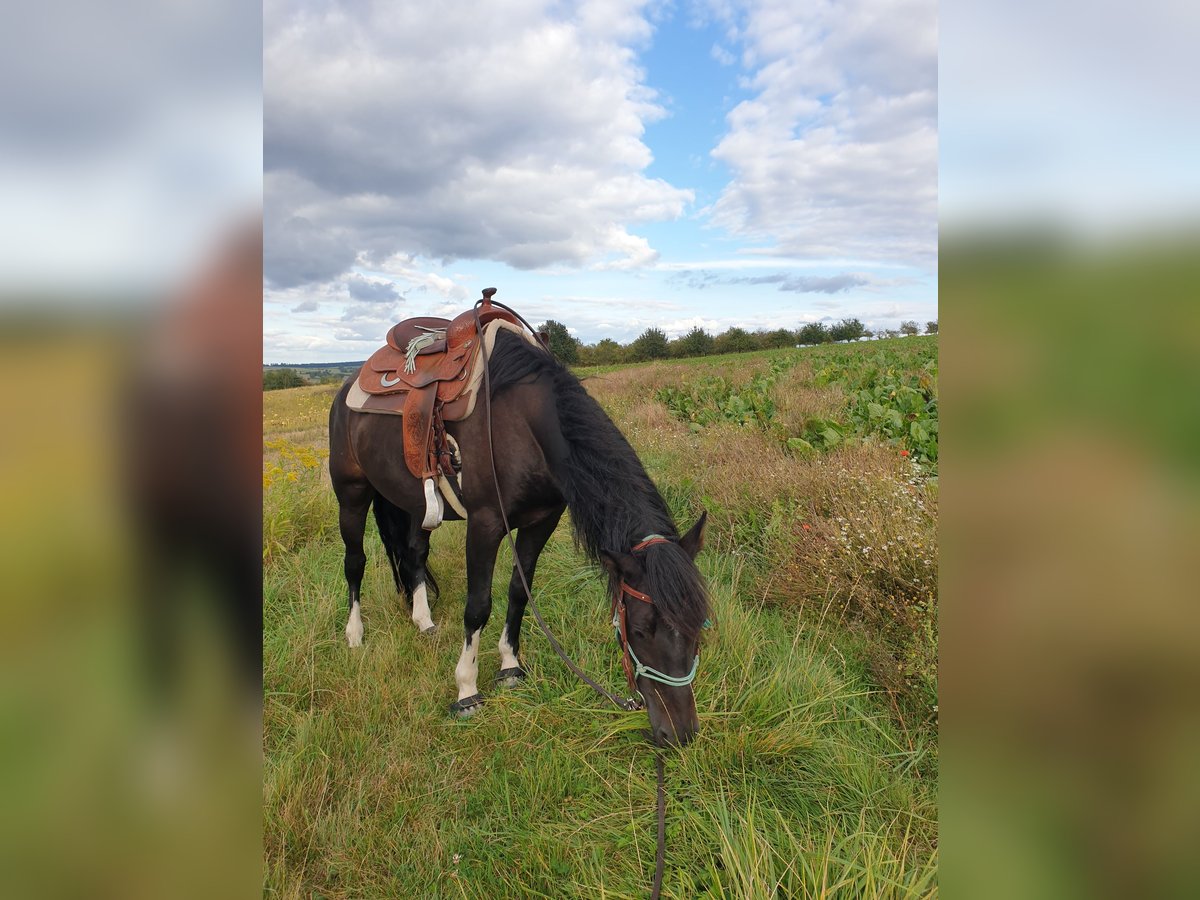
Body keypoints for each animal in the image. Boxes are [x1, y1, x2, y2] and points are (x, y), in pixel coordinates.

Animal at [326, 324, 710, 748]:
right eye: (639, 631)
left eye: (699, 626)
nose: (681, 734)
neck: (525, 425)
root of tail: (347, 389)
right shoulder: (485, 524)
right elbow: (478, 606)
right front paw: (467, 690)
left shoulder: (541, 521)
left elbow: (518, 591)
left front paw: (510, 665)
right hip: (351, 494)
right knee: (355, 562)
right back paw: (355, 634)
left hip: (413, 502)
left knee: (413, 554)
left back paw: (423, 619)